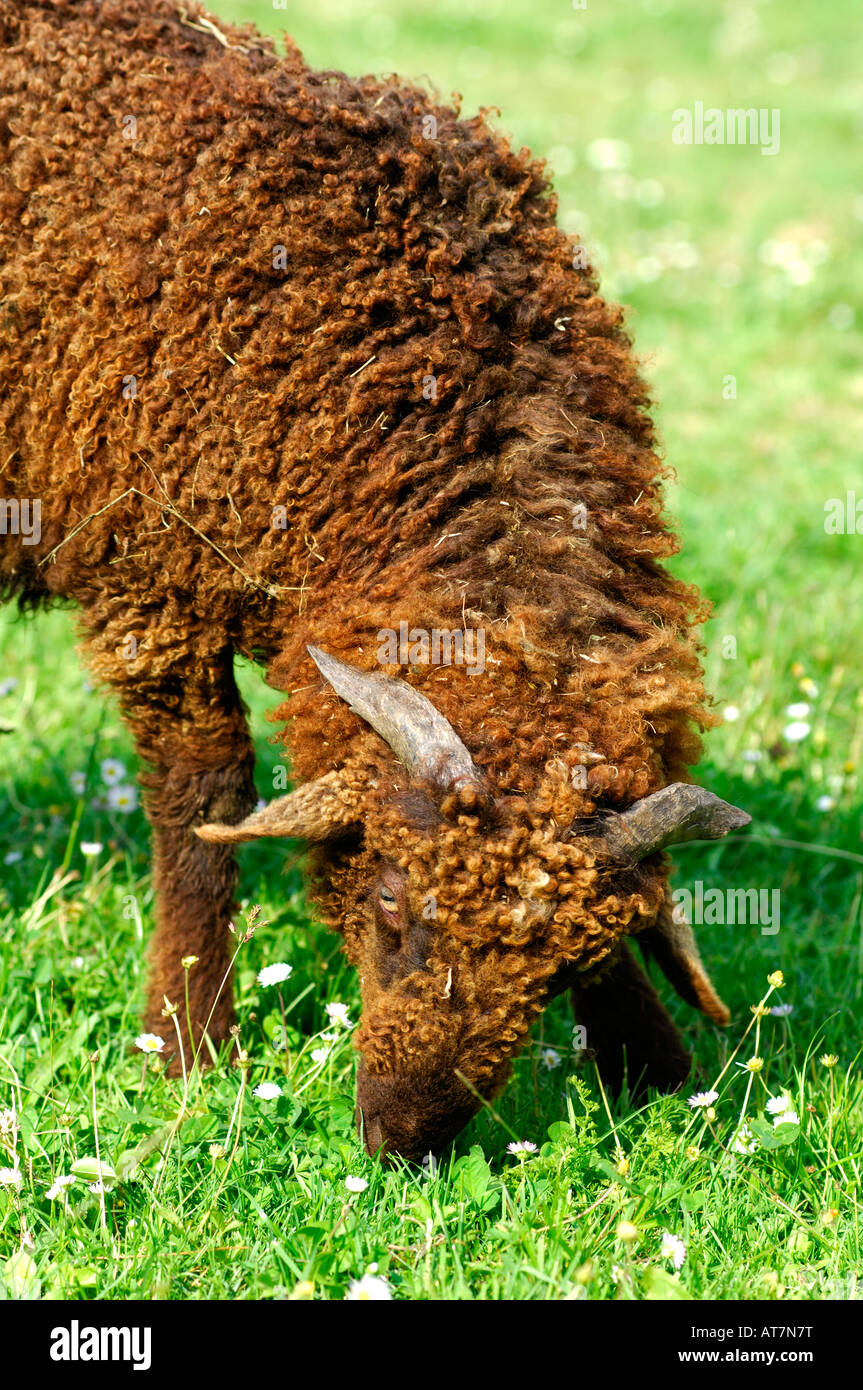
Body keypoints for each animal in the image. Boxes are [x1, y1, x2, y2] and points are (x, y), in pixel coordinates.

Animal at [1, 0, 744, 1162]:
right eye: (392, 906)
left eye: (558, 969)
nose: (403, 1139)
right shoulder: (152, 580)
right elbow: (204, 794)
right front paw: (189, 1042)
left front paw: (649, 1060)